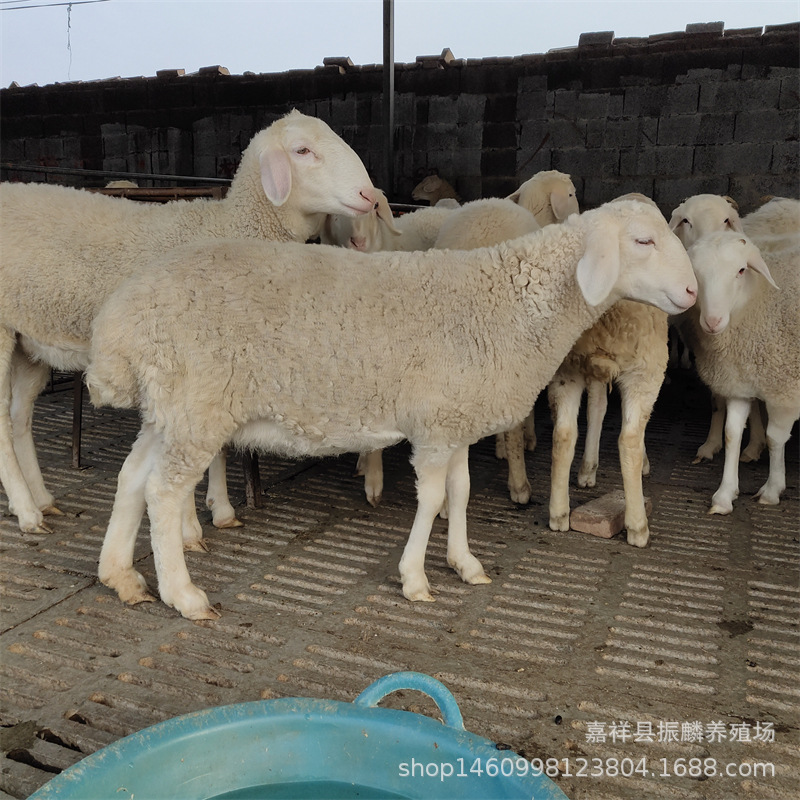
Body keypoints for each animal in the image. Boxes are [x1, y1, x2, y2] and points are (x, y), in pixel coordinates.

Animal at [0, 110, 376, 537]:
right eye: (302, 150)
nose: (369, 195)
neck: (231, 226)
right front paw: (189, 527)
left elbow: (220, 446)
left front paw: (220, 508)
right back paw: (27, 512)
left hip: (28, 339)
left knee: (19, 416)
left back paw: (41, 500)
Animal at [84, 198, 697, 620]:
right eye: (643, 240)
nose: (693, 294)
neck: (513, 304)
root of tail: (118, 319)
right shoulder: (434, 426)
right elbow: (431, 499)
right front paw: (415, 579)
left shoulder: (455, 420)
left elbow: (461, 493)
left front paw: (465, 564)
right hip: (196, 405)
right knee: (164, 492)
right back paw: (184, 594)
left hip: (169, 408)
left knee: (132, 477)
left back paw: (121, 576)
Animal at [682, 231, 800, 515]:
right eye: (695, 273)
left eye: (741, 270)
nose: (712, 322)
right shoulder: (739, 385)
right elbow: (732, 435)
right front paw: (724, 495)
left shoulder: (784, 391)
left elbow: (775, 439)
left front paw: (772, 490)